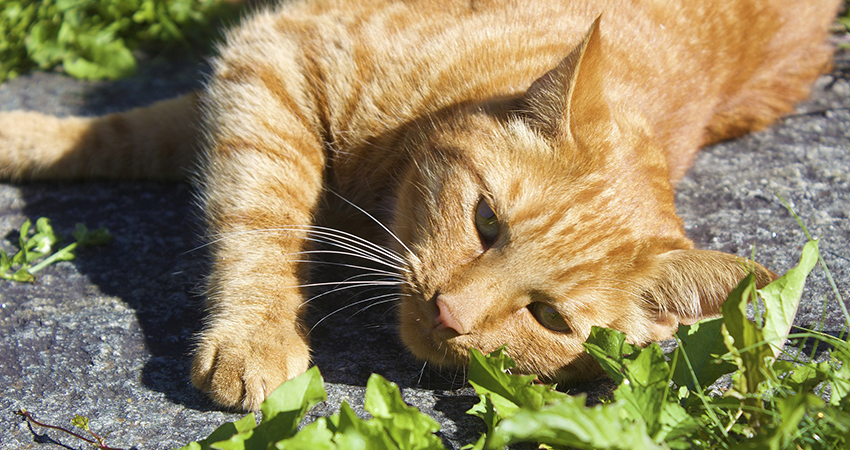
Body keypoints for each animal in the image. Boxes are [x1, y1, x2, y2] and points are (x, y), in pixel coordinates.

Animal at [0, 0, 840, 410]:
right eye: (486, 221)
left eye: (549, 319)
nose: (451, 313)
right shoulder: (274, 57)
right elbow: (250, 206)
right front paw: (257, 333)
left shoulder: (261, 73)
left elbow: (153, 145)